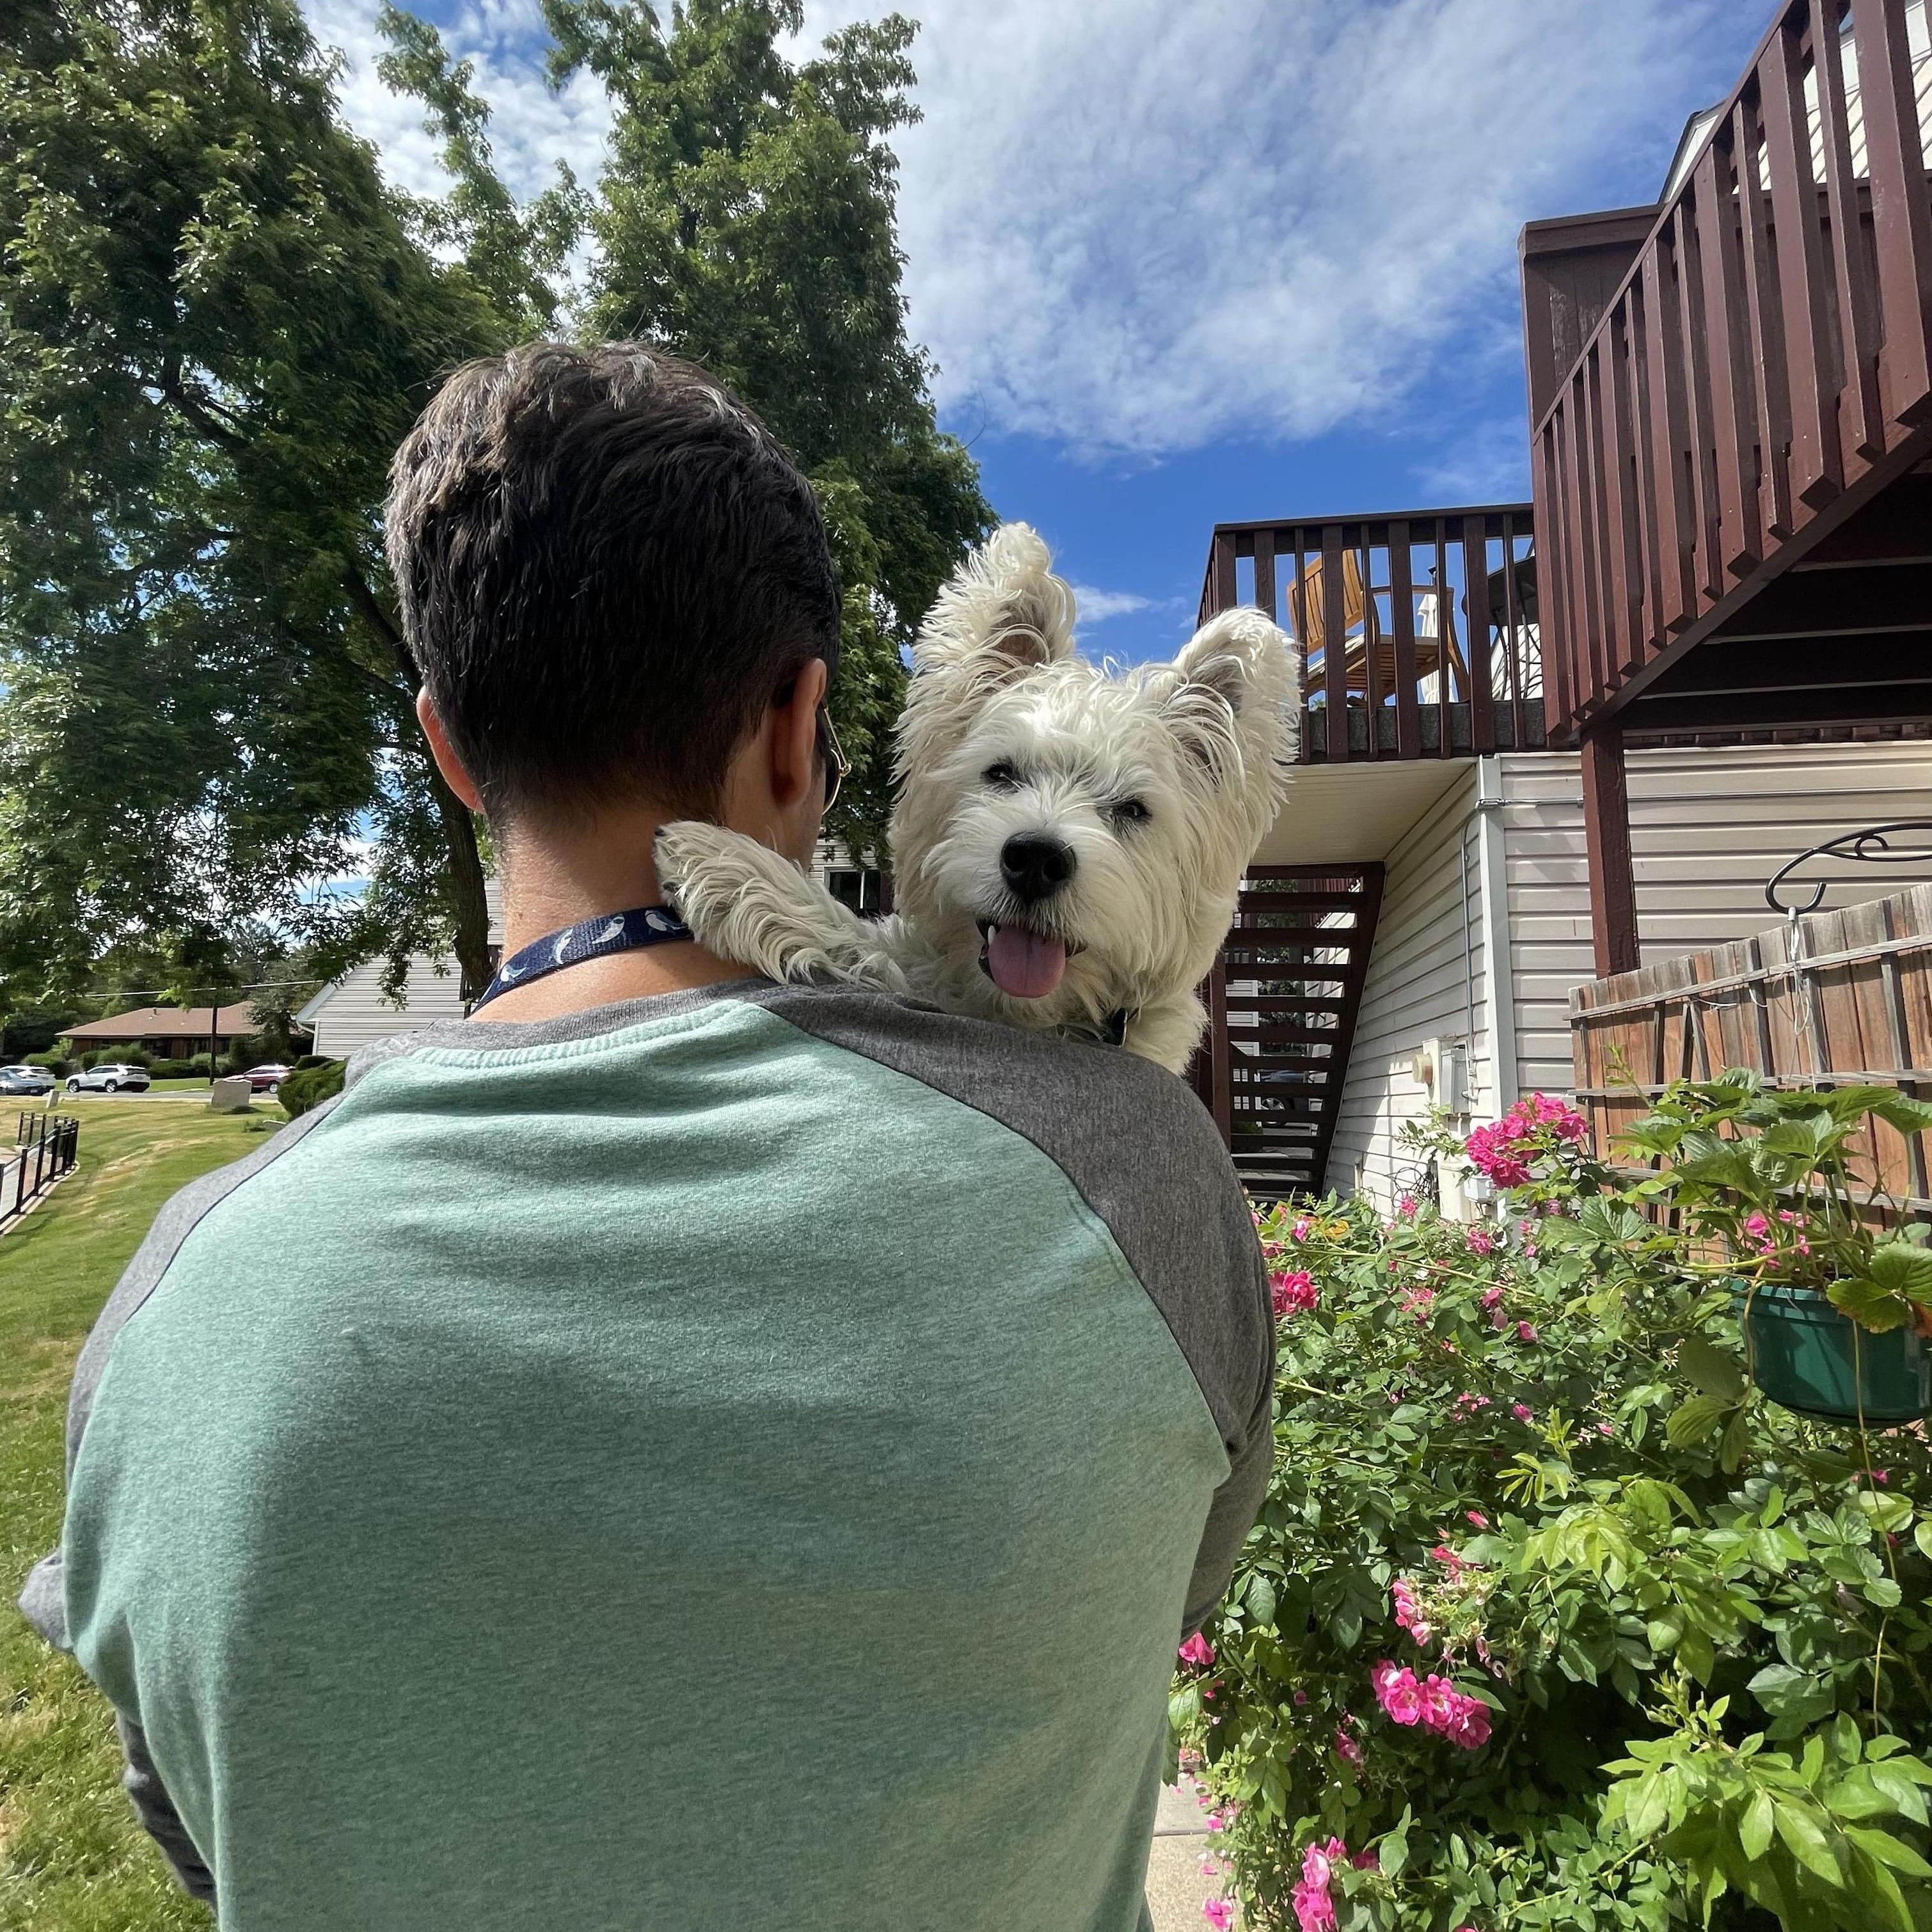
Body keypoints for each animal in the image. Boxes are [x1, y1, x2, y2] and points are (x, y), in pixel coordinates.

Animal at [649, 521, 1298, 1082]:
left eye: (1132, 810)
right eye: (1001, 773)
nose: (1036, 859)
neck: (1028, 1014)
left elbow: (866, 946)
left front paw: (725, 868)